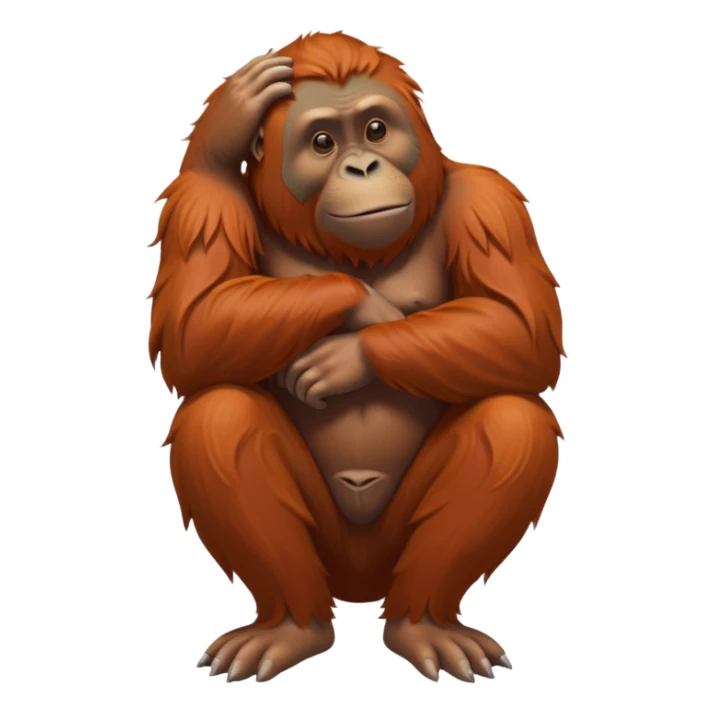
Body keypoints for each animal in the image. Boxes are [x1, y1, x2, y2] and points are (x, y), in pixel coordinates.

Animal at [149, 32, 564, 685]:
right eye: (322, 142)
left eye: (375, 130)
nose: (363, 166)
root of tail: (362, 588)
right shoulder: (206, 215)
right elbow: (196, 327)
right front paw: (224, 129)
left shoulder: (489, 203)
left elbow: (522, 332)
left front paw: (352, 350)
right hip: (334, 557)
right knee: (220, 413)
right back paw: (292, 627)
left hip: (388, 555)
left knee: (510, 418)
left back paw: (426, 624)